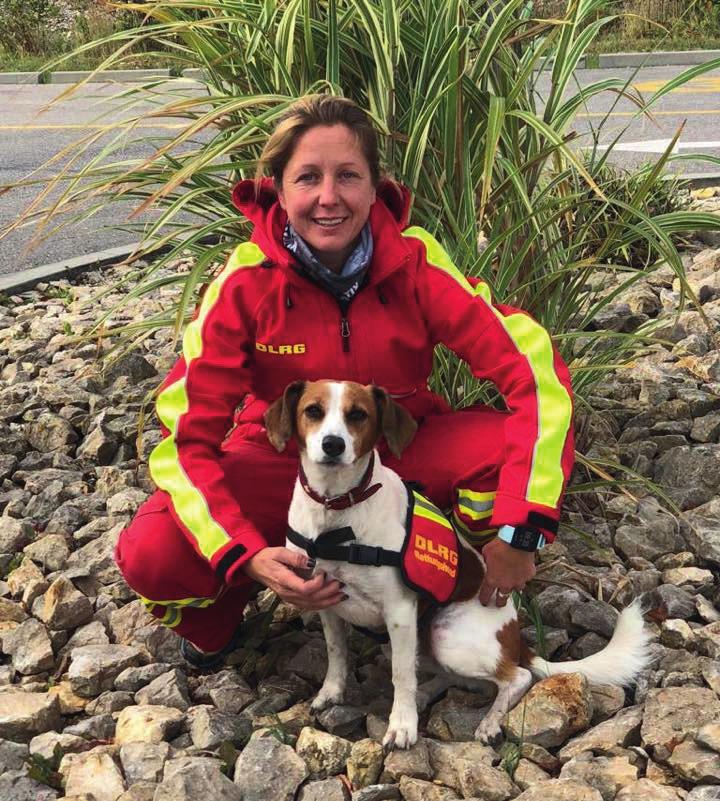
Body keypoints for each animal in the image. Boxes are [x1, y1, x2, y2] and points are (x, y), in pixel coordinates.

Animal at [264, 380, 652, 752]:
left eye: (357, 414)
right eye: (313, 411)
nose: (332, 444)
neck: (336, 509)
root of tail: (516, 640)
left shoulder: (399, 612)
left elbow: (400, 675)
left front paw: (402, 726)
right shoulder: (324, 599)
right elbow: (337, 653)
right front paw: (331, 692)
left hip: (446, 635)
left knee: (517, 677)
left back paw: (489, 721)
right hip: (429, 640)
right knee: (453, 676)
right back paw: (427, 693)